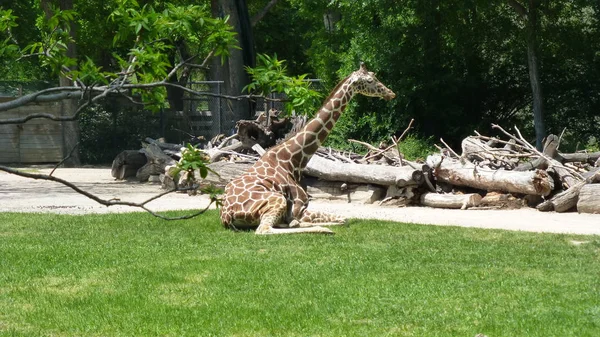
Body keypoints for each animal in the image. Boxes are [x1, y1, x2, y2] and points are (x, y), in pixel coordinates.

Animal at [219, 62, 394, 234]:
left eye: (374, 76)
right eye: (370, 80)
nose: (391, 94)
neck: (292, 160)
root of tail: (227, 214)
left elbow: (340, 219)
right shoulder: (299, 208)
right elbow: (343, 219)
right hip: (277, 200)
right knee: (264, 229)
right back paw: (322, 228)